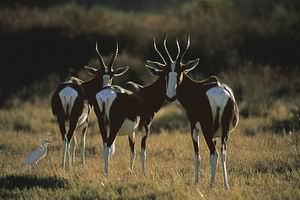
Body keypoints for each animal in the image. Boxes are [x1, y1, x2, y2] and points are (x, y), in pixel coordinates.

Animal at [51, 41, 128, 170]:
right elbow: (82, 142)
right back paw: (65, 166)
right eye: (100, 75)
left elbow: (74, 142)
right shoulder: (84, 122)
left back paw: (63, 164)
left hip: (62, 120)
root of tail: (67, 91)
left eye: (111, 75)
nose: (106, 89)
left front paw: (72, 162)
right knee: (67, 139)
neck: (83, 87)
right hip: (73, 120)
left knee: (65, 138)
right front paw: (81, 163)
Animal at [146, 35, 240, 188]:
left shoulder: (194, 129)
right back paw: (226, 186)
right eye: (166, 73)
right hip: (225, 132)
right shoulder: (216, 135)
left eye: (180, 73)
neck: (197, 88)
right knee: (223, 153)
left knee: (214, 154)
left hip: (207, 131)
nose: (170, 96)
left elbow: (197, 156)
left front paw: (196, 183)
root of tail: (219, 93)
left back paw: (212, 185)